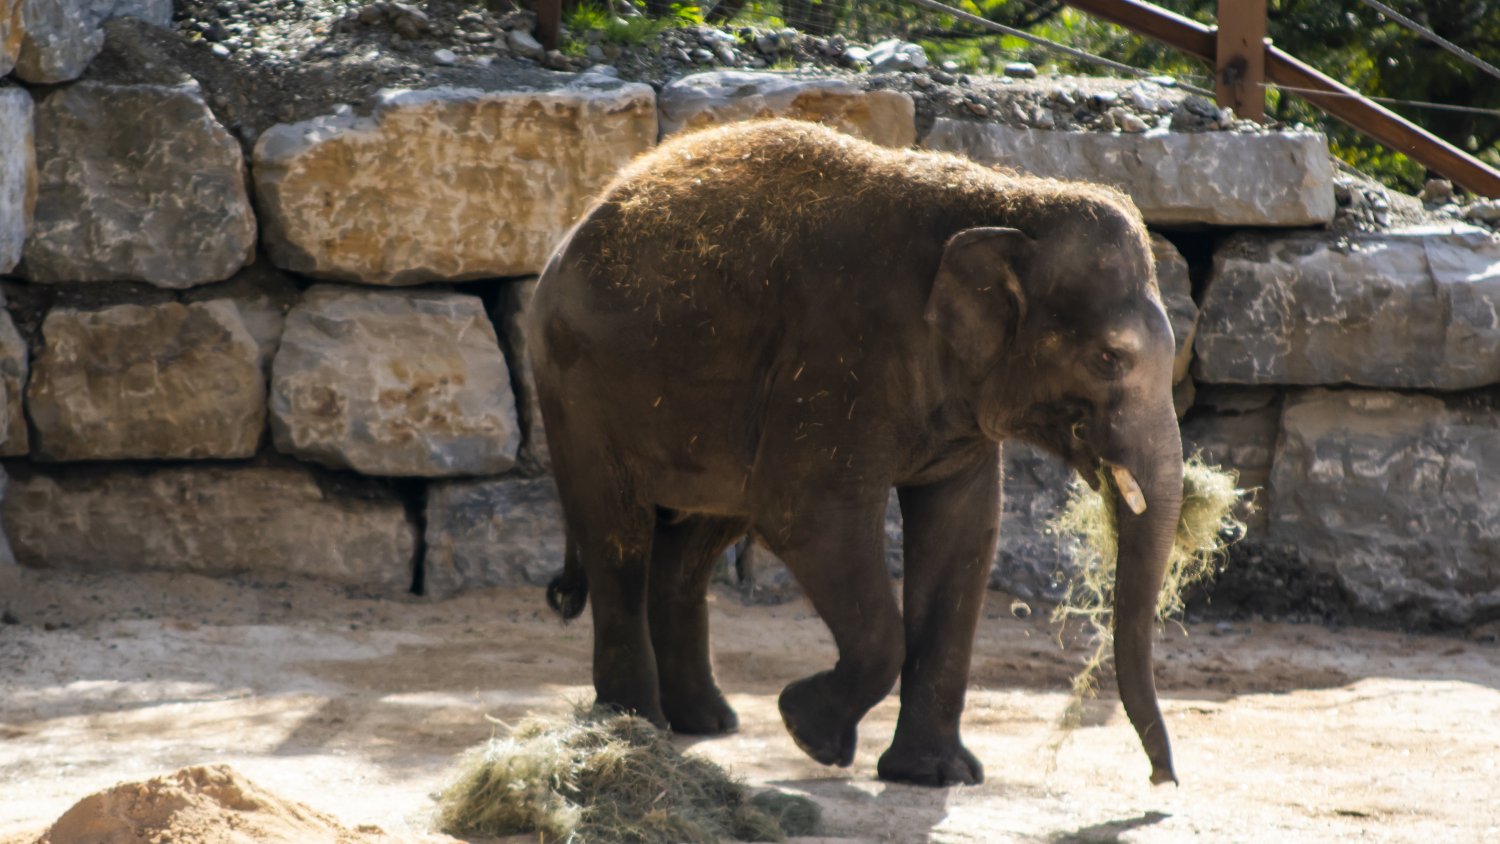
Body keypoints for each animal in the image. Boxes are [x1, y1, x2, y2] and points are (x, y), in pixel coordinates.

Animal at [529, 119, 1183, 788]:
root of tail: (571, 234)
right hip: (574, 387)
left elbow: (964, 531)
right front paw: (807, 732)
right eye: (1109, 359)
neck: (1005, 202)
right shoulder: (841, 355)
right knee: (617, 535)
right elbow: (807, 518)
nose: (1162, 778)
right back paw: (634, 725)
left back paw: (706, 722)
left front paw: (935, 776)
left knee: (694, 542)